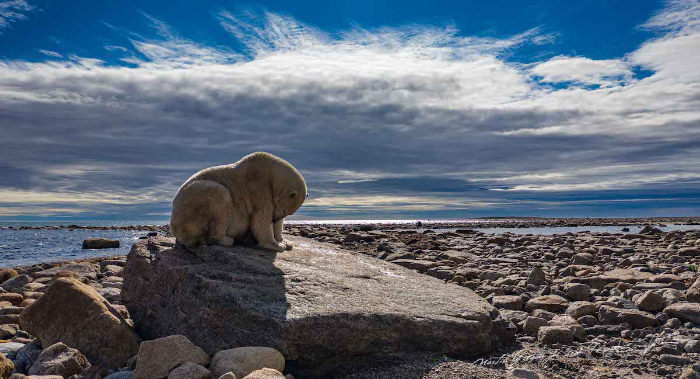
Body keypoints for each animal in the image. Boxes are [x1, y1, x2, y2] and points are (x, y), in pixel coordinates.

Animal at [170, 151, 306, 252]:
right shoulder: (258, 186)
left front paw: (286, 242)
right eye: (285, 210)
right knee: (220, 198)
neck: (270, 171)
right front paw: (276, 245)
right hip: (194, 204)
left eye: (288, 212)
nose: (274, 219)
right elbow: (261, 217)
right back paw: (226, 239)